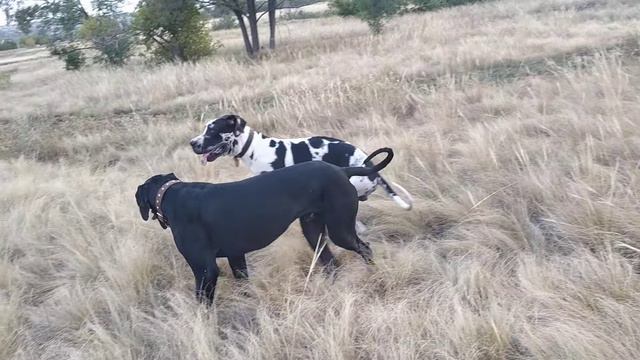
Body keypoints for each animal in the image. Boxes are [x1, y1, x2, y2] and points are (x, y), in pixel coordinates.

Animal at [138, 146, 392, 304]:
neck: (170, 194)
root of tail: (342, 170)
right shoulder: (236, 256)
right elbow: (244, 285)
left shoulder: (205, 269)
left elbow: (203, 303)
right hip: (314, 231)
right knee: (331, 262)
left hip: (340, 229)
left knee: (364, 248)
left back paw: (375, 274)